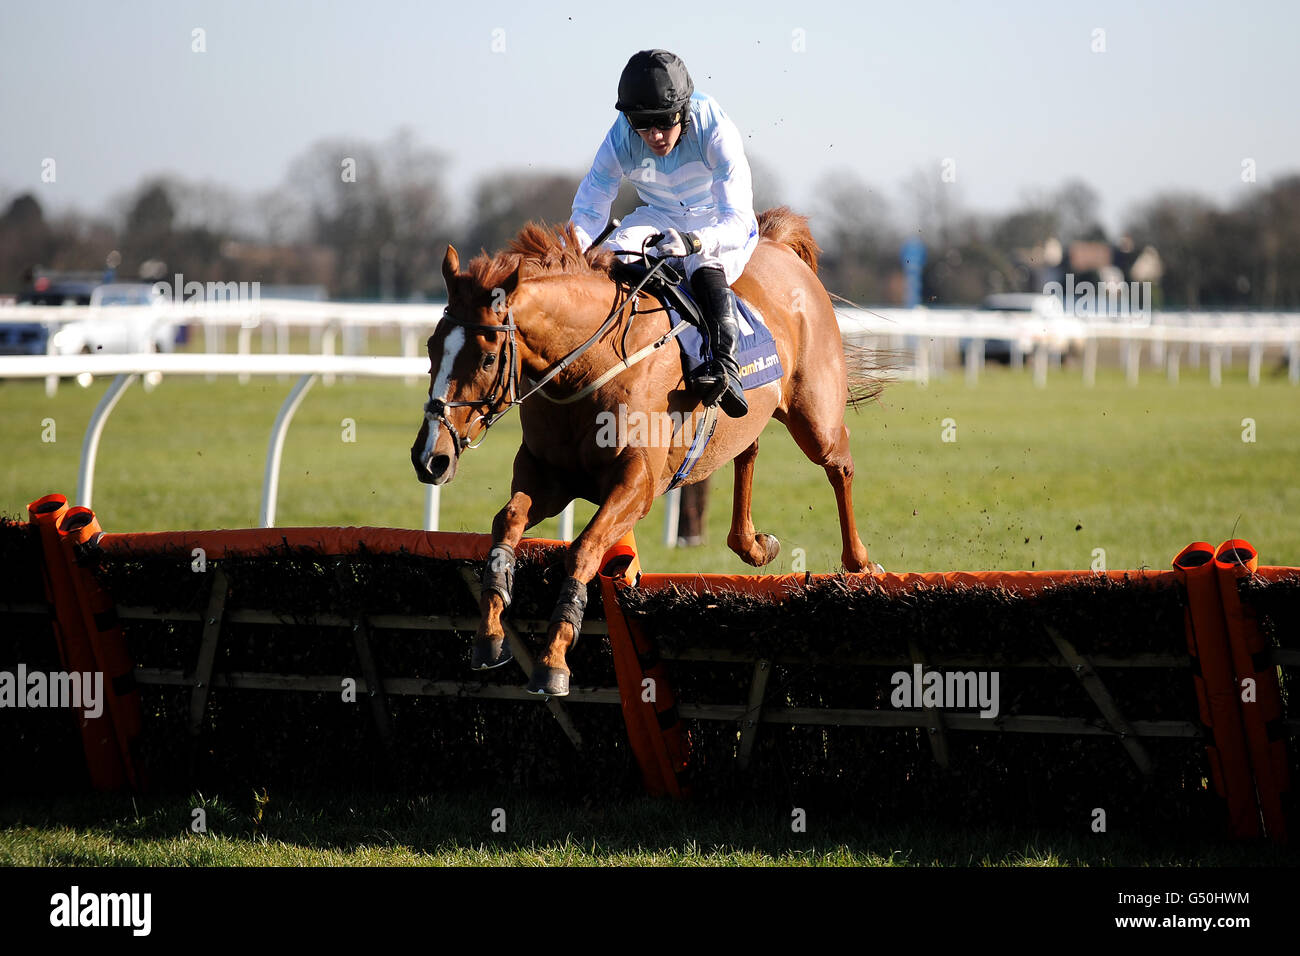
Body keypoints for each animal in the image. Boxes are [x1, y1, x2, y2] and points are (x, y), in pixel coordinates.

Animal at [410, 208, 889, 697]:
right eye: (432, 347)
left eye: (487, 359)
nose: (430, 457)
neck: (592, 365)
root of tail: (776, 242)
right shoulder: (548, 477)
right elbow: (505, 524)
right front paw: (489, 636)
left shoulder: (636, 485)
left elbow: (583, 549)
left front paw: (553, 660)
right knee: (748, 451)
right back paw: (754, 545)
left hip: (816, 419)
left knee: (839, 466)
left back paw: (859, 563)